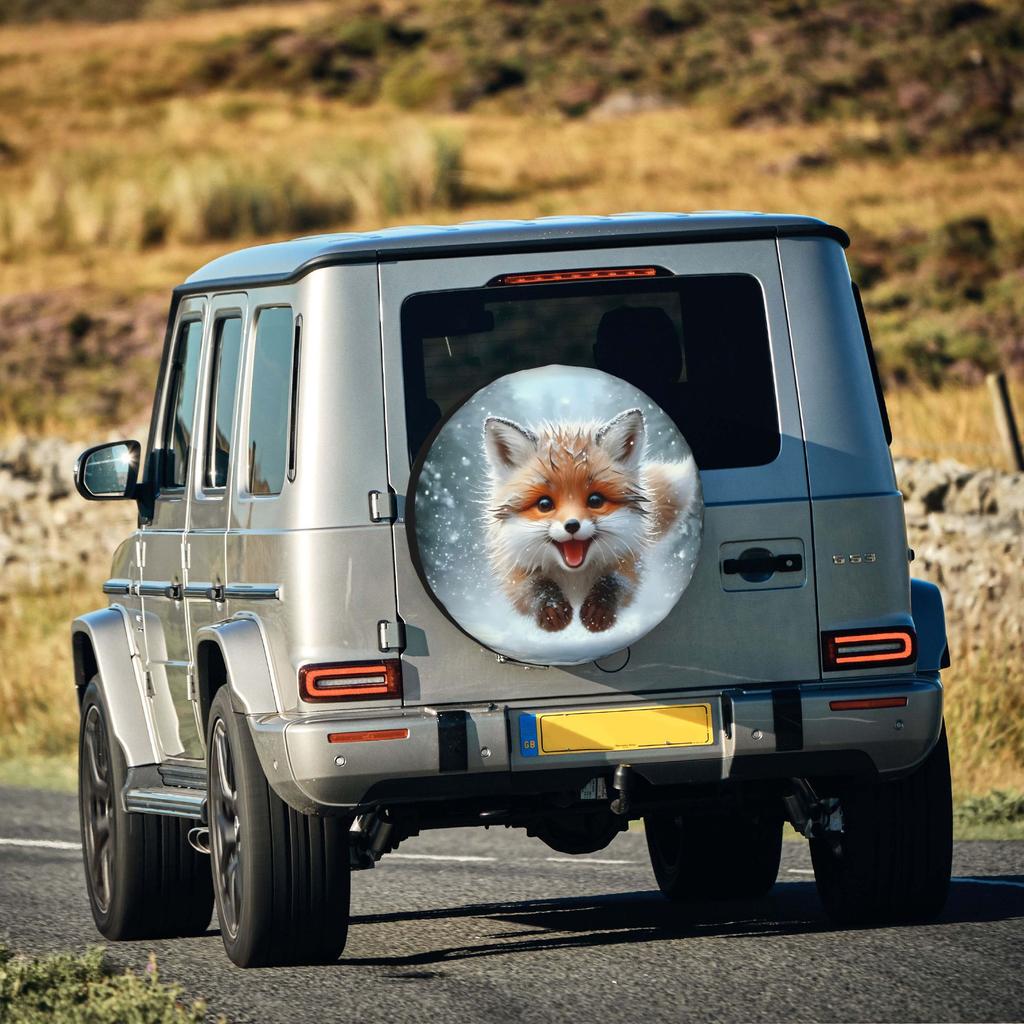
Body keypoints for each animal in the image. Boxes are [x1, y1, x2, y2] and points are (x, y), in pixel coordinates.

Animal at [483, 408, 699, 634]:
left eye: (595, 500)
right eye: (544, 504)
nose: (572, 525)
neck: (574, 579)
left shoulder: (629, 561)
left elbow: (615, 582)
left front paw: (599, 609)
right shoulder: (513, 569)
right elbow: (534, 588)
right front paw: (551, 608)